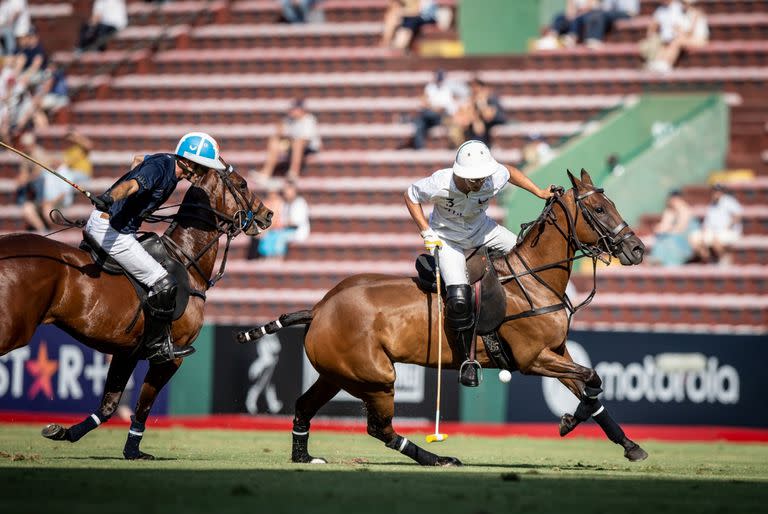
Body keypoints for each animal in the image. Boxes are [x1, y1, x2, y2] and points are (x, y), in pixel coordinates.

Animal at [0, 163, 272, 456]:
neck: (186, 260)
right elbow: (144, 405)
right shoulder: (172, 355)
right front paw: (133, 450)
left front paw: (64, 432)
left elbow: (108, 405)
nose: (268, 214)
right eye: (242, 184)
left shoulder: (126, 352)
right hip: (14, 329)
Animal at [240, 169, 648, 464]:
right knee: (380, 429)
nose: (637, 249)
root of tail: (319, 308)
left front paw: (628, 445)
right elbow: (593, 378)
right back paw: (437, 458)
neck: (533, 277)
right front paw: (568, 421)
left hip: (336, 374)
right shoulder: (533, 358)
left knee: (304, 406)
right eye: (599, 210)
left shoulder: (557, 351)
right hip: (375, 376)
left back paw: (304, 457)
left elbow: (591, 389)